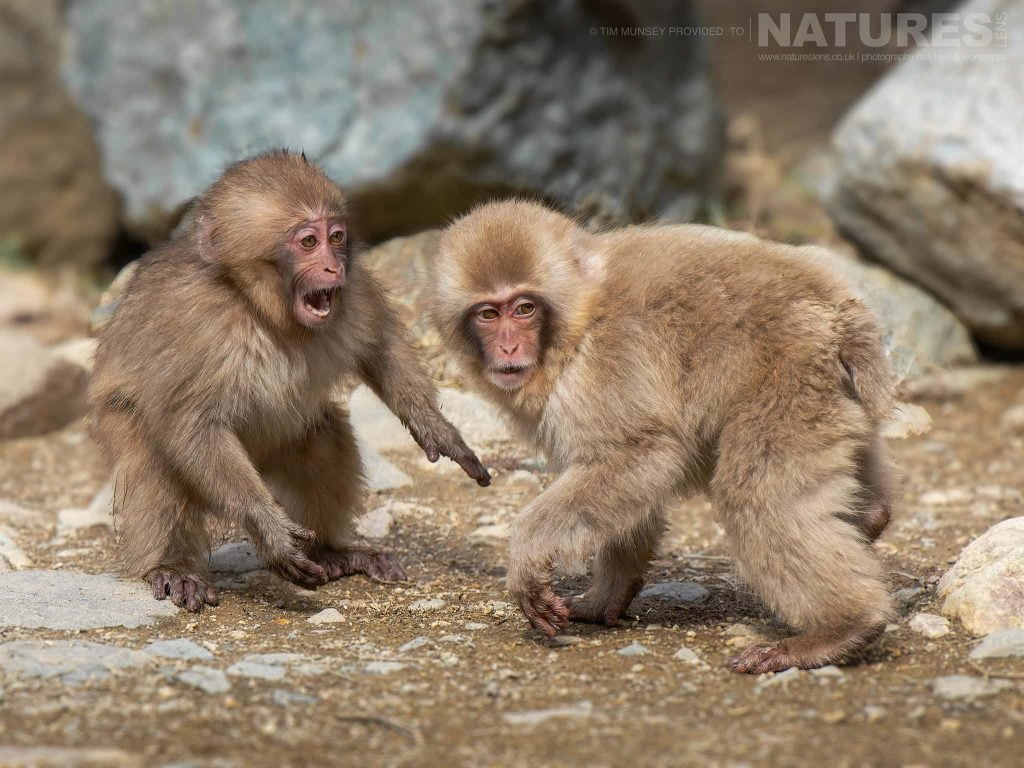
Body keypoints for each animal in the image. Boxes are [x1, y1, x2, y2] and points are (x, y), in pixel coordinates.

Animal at [89, 150, 490, 612]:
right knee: (156, 462)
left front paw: (434, 427)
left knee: (322, 443)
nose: (334, 266)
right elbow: (189, 425)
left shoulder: (354, 290)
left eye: (336, 236)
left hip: (276, 444)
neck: (260, 308)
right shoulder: (195, 321)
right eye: (308, 242)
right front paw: (270, 531)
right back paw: (171, 567)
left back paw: (331, 551)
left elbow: (380, 345)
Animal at [429, 199, 896, 674]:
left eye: (524, 309)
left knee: (754, 493)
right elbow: (632, 491)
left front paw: (526, 554)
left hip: (790, 373)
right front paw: (605, 597)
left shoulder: (607, 364)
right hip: (834, 394)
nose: (507, 348)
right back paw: (871, 516)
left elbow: (644, 453)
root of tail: (840, 313)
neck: (580, 319)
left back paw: (842, 629)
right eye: (488, 314)